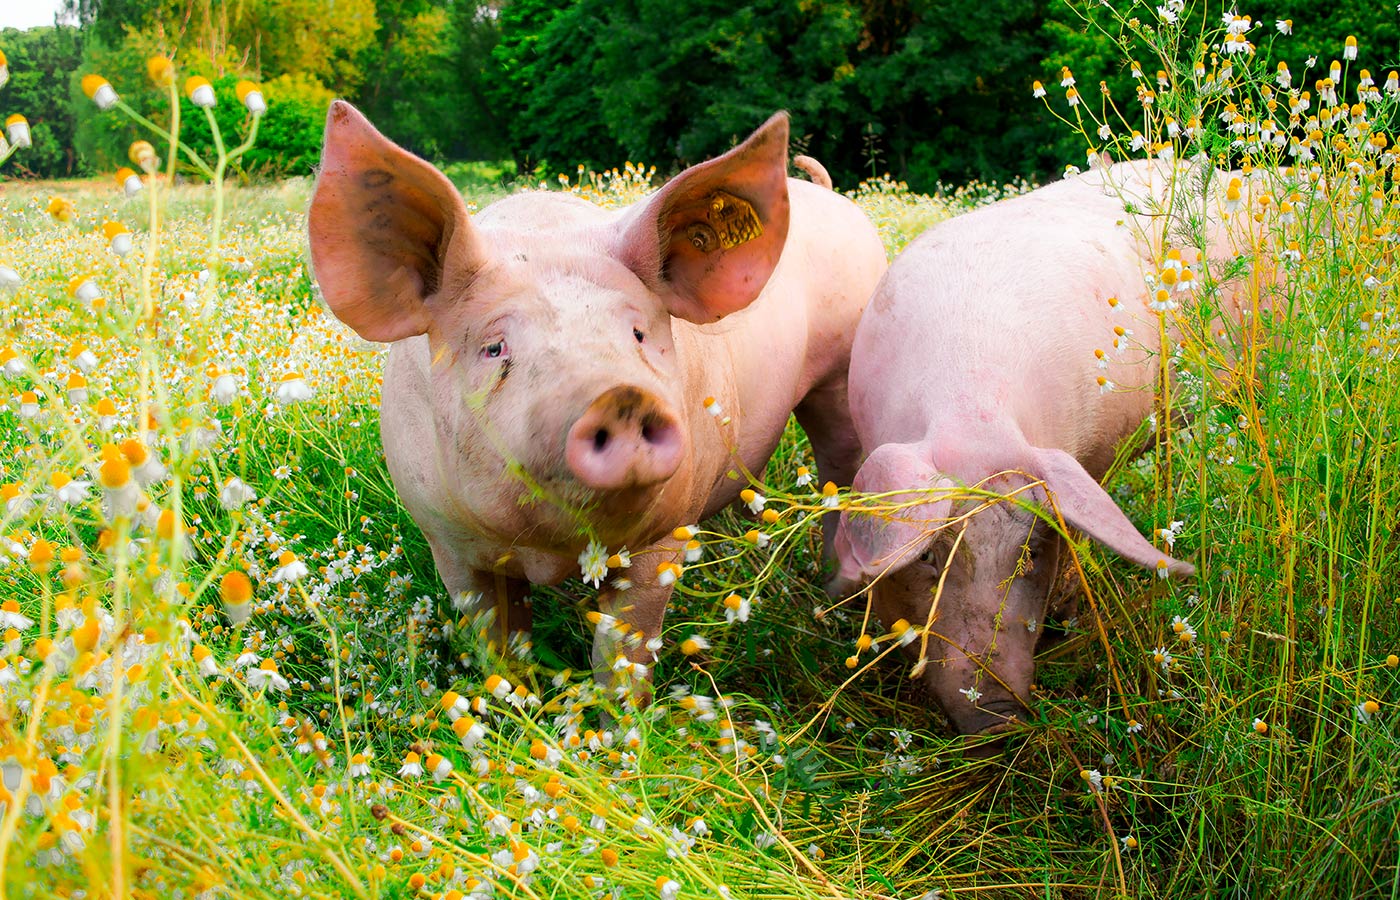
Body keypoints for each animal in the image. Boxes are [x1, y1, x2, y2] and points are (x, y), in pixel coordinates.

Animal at [308, 100, 884, 677]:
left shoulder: (659, 540)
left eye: (638, 333)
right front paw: (516, 696)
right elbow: (495, 647)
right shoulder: (448, 542)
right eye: (494, 348)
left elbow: (622, 654)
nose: (620, 397)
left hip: (842, 371)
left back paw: (833, 592)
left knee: (839, 469)